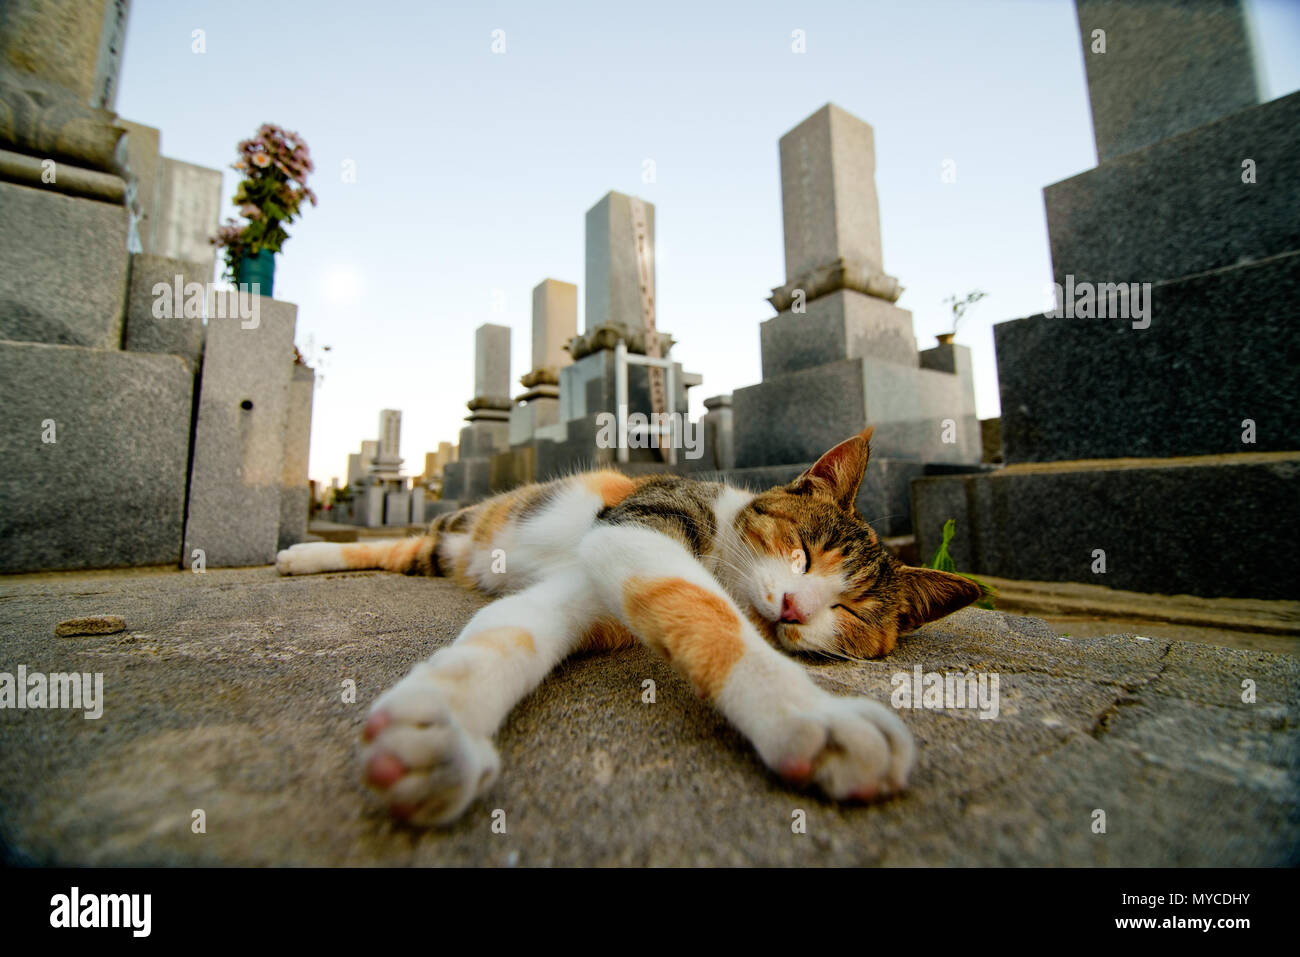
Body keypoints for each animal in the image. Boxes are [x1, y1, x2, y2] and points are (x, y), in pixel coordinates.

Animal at [279, 429, 977, 826]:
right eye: (804, 551)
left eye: (851, 612)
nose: (794, 609)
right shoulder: (639, 525)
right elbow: (706, 610)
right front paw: (817, 719)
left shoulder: (590, 586)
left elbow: (517, 625)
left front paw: (438, 728)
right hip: (461, 525)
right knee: (400, 541)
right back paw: (304, 554)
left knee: (409, 553)